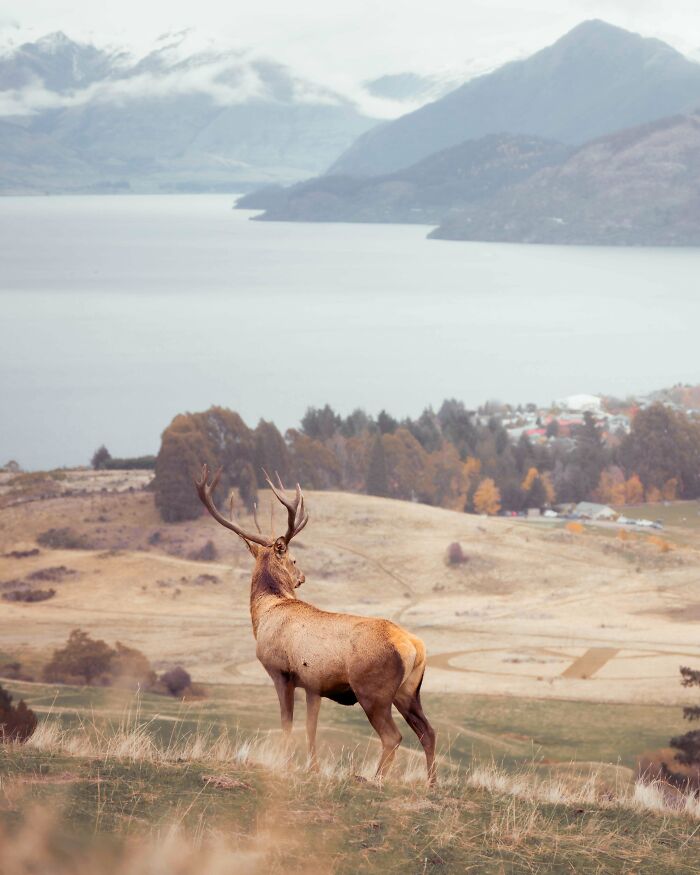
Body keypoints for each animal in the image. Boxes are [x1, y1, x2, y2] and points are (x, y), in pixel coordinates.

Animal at [194, 464, 437, 785]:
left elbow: (287, 723)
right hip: (408, 691)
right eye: (295, 560)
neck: (265, 614)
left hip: (372, 690)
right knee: (428, 732)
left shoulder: (281, 672)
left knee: (393, 736)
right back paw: (431, 782)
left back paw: (374, 778)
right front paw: (313, 768)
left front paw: (285, 765)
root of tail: (413, 646)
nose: (302, 577)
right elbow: (311, 727)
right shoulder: (313, 685)